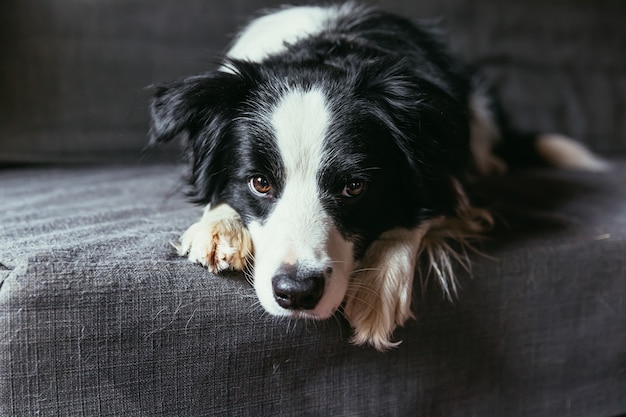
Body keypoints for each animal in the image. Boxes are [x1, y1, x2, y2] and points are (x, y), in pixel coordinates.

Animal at [147, 2, 604, 352]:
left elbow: (415, 216)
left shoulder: (447, 179)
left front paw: (376, 290)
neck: (329, 51)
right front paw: (219, 228)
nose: (297, 293)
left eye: (354, 187)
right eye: (260, 182)